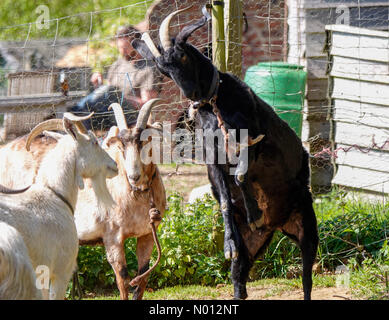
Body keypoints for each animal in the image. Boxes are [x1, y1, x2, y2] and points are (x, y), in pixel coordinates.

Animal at [133, 7, 318, 298]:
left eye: (182, 54)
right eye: (162, 69)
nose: (191, 94)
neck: (217, 106)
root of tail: (278, 224)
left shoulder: (255, 141)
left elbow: (241, 175)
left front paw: (254, 212)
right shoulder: (213, 161)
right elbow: (224, 200)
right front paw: (230, 242)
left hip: (308, 226)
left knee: (307, 278)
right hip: (252, 246)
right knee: (239, 280)